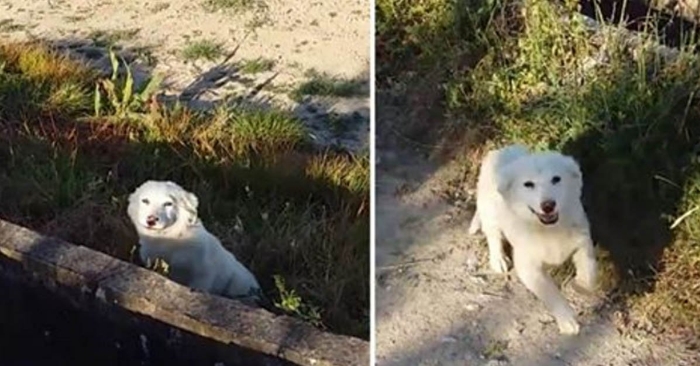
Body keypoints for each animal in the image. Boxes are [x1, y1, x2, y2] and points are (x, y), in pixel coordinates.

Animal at [470, 144, 596, 334]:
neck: (549, 229)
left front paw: (582, 287)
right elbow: (549, 293)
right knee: (493, 235)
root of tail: (501, 150)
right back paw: (498, 259)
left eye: (556, 179)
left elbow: (589, 269)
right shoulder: (527, 266)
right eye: (528, 184)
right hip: (490, 211)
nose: (548, 206)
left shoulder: (582, 241)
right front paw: (567, 320)